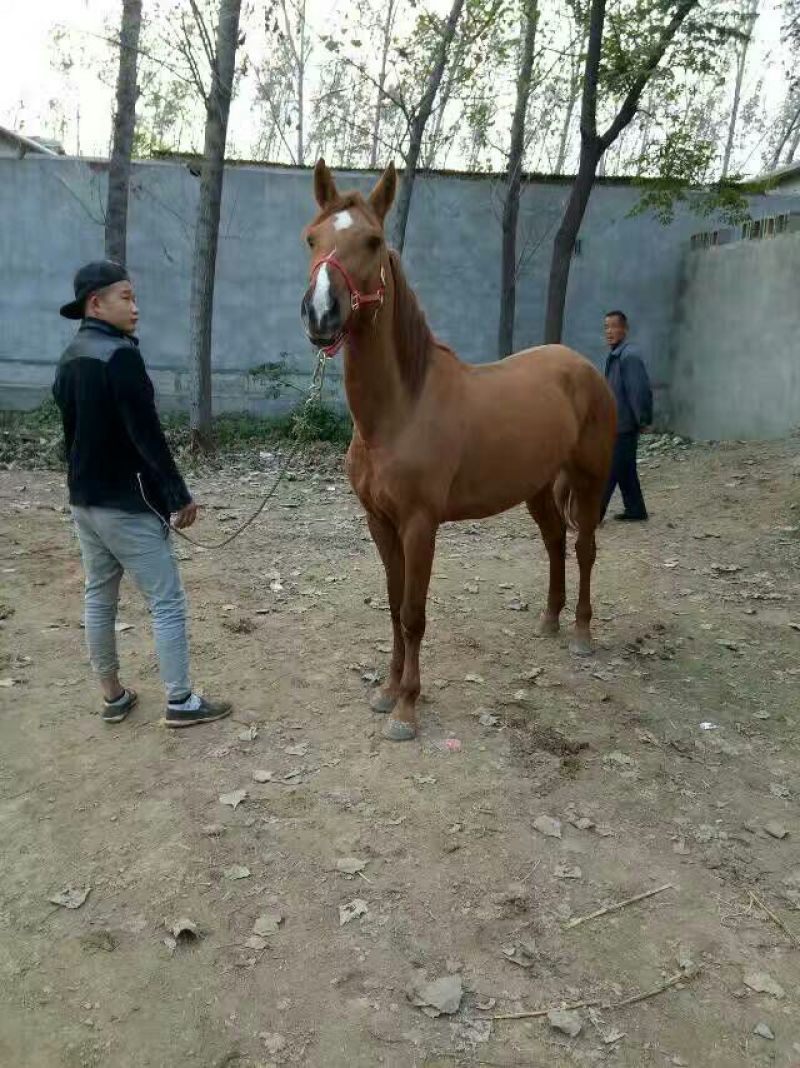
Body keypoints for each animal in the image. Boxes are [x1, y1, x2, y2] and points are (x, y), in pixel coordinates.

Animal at [301, 159, 617, 742]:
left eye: (374, 241)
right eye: (312, 238)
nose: (321, 313)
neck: (400, 409)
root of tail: (582, 366)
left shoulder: (419, 524)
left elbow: (413, 613)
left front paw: (406, 709)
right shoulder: (380, 522)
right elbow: (391, 604)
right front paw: (386, 692)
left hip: (589, 478)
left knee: (584, 548)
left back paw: (583, 633)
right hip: (537, 487)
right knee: (555, 543)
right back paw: (550, 620)